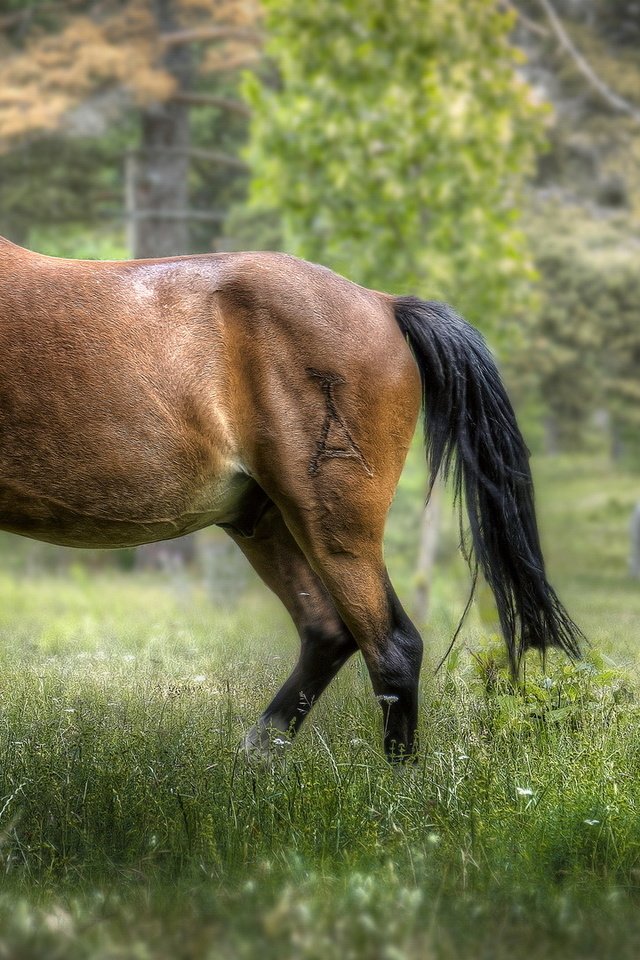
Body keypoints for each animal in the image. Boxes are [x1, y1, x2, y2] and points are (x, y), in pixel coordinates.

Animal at [0, 236, 580, 760]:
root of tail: (383, 303)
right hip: (267, 521)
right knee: (328, 633)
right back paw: (256, 757)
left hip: (331, 525)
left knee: (393, 647)